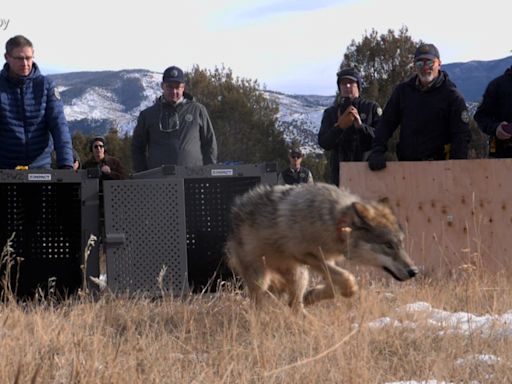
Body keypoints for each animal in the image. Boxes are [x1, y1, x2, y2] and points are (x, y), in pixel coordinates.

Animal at [226, 182, 418, 310]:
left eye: (400, 243)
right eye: (388, 245)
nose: (414, 271)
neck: (335, 221)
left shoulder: (326, 259)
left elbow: (334, 285)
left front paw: (312, 296)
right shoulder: (307, 255)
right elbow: (347, 278)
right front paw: (349, 291)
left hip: (300, 275)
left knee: (294, 304)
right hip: (261, 279)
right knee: (258, 302)